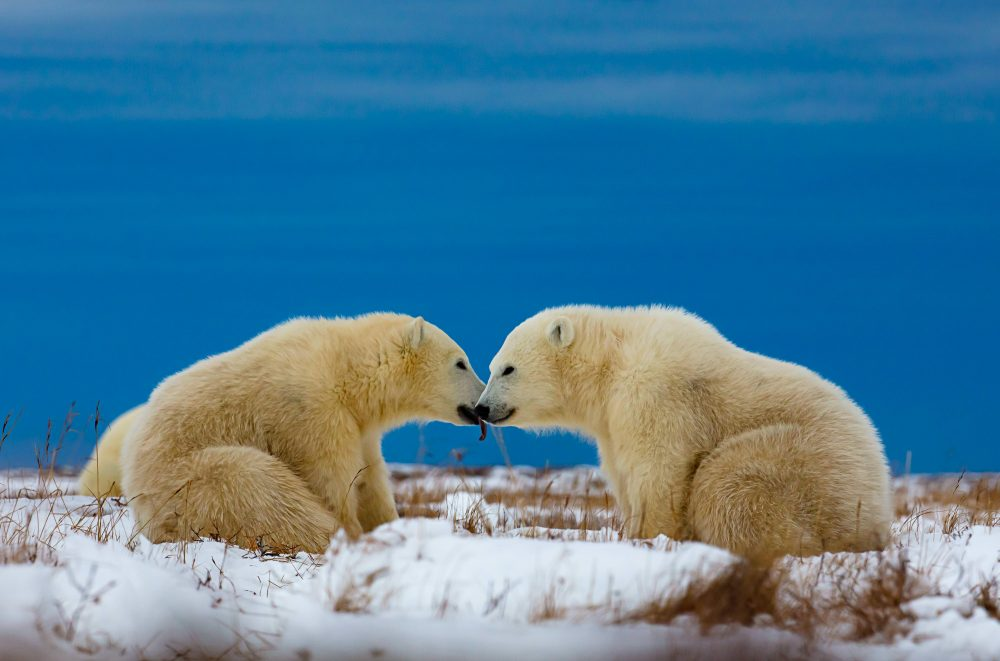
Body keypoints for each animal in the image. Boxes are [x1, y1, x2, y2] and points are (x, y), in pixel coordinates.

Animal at [120, 313, 485, 553]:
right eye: (461, 363)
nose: (482, 404)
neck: (347, 370)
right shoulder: (311, 411)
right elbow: (331, 483)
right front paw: (355, 532)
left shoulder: (360, 427)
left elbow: (370, 481)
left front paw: (389, 523)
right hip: (186, 484)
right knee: (261, 489)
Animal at [474, 305, 892, 562]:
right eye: (493, 367)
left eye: (507, 368)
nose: (481, 408)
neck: (612, 360)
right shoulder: (611, 423)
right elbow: (625, 475)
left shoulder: (655, 395)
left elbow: (660, 474)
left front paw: (650, 539)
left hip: (808, 464)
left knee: (728, 484)